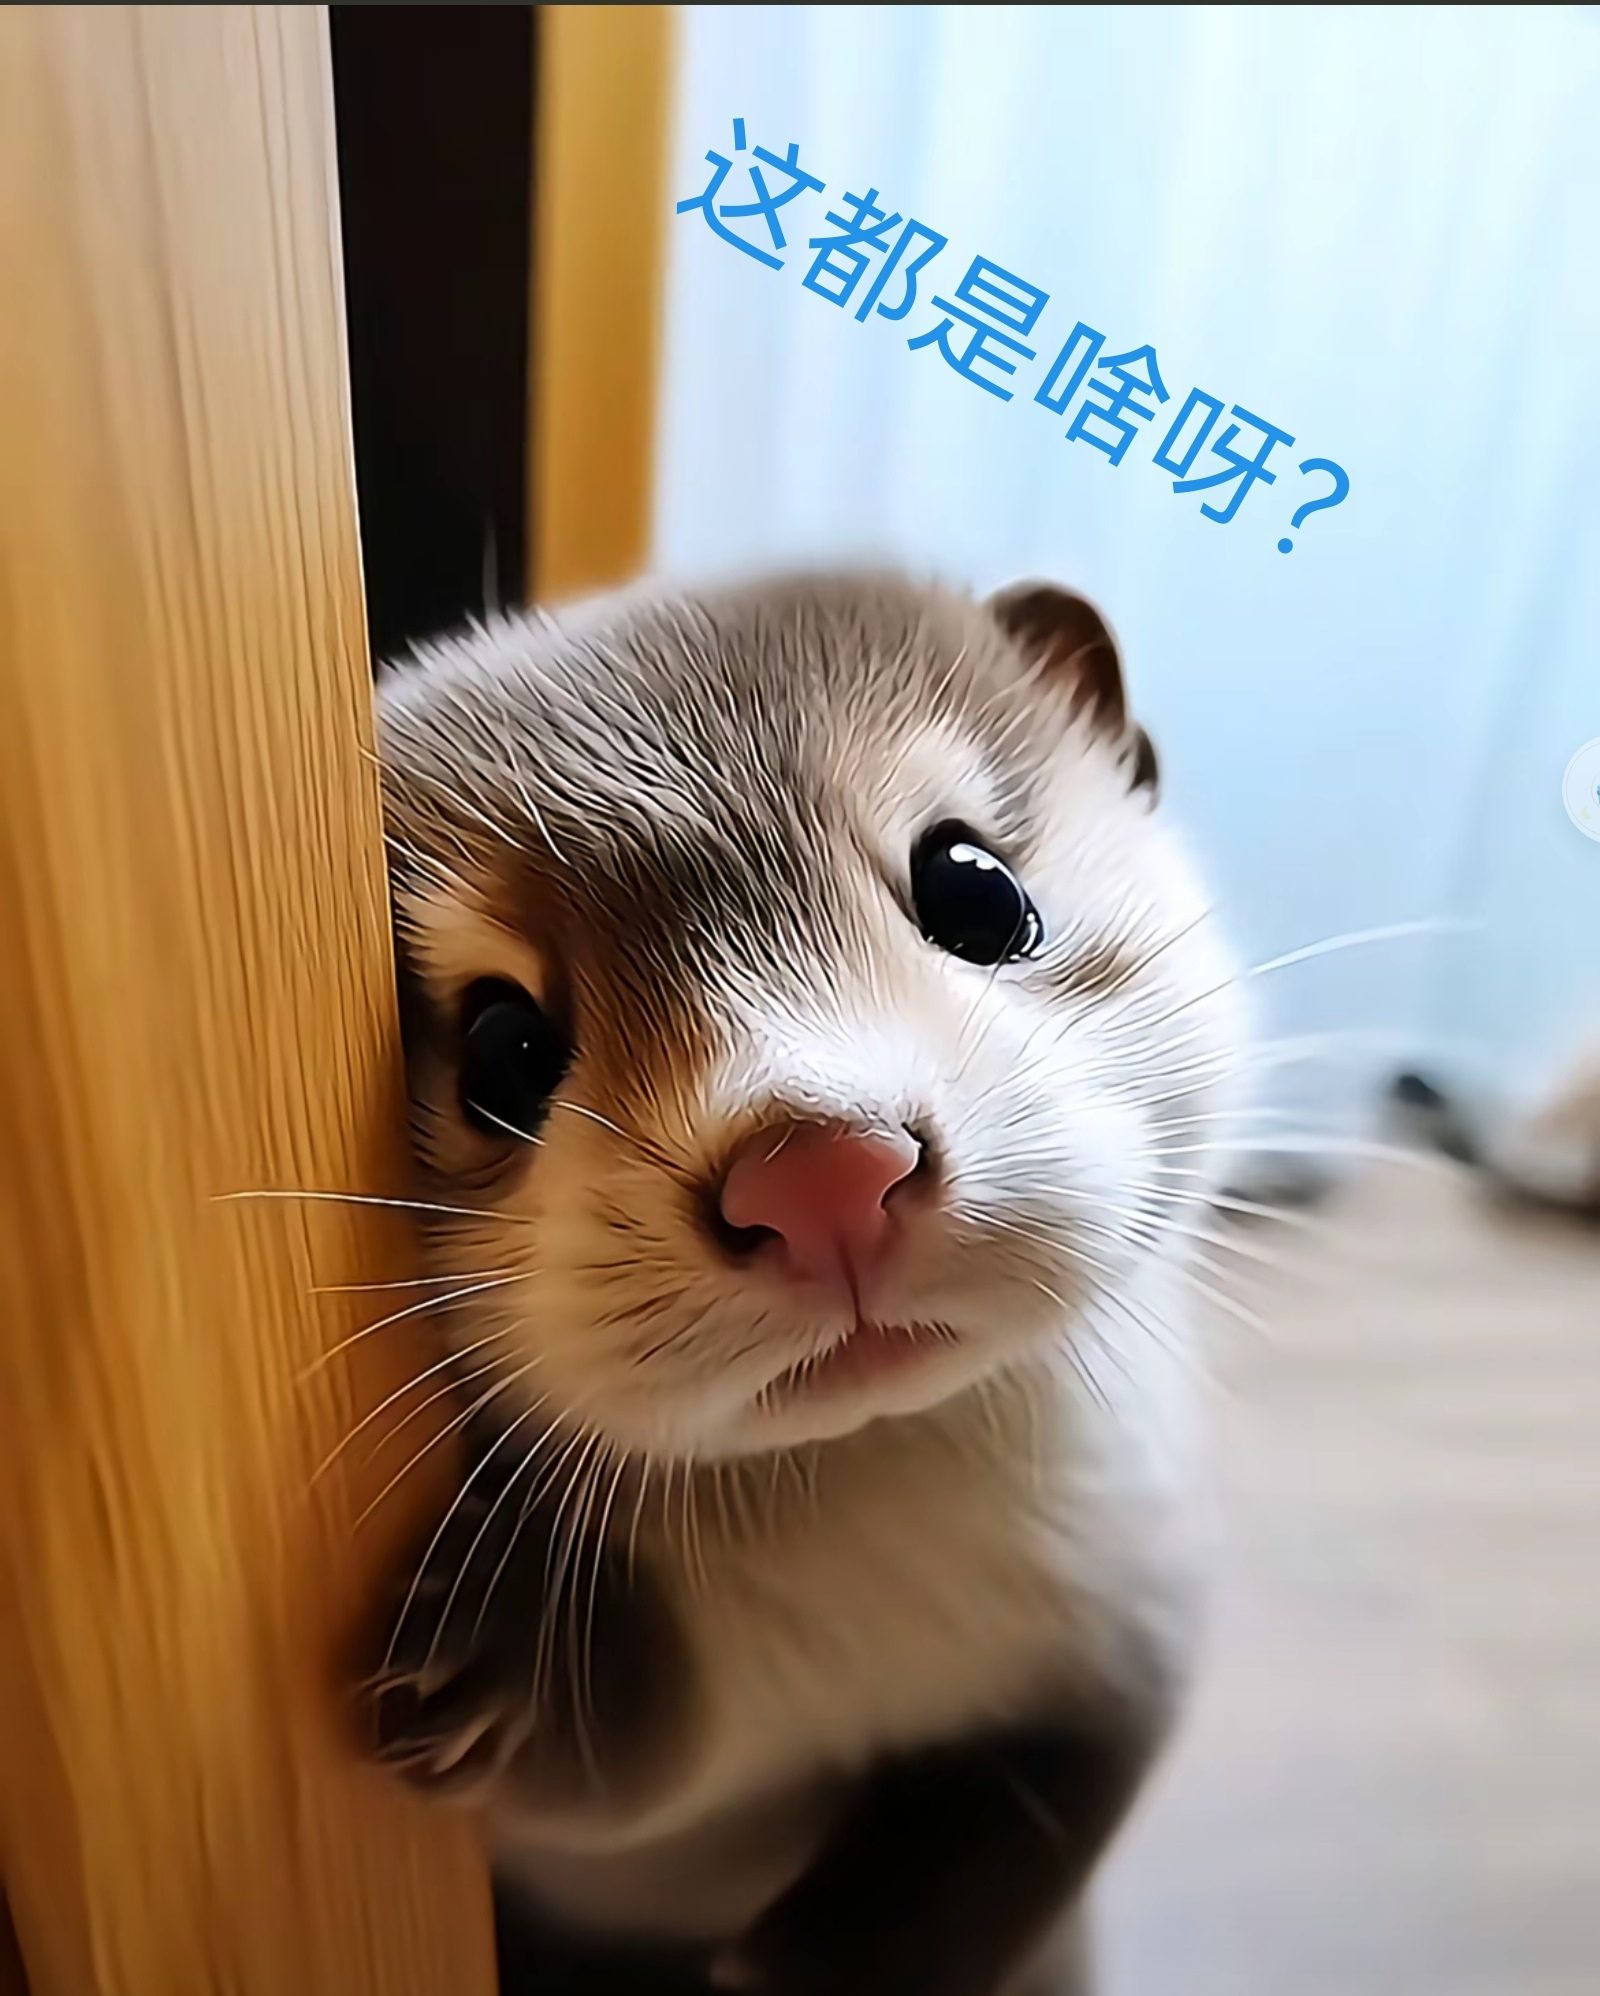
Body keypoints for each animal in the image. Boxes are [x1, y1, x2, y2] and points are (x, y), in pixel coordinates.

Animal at [363, 570, 1247, 1996]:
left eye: (977, 887)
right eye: (502, 1049)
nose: (817, 1168)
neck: (870, 1612)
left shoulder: (1137, 1621)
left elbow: (1010, 1844)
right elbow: (648, 1744)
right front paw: (502, 1668)